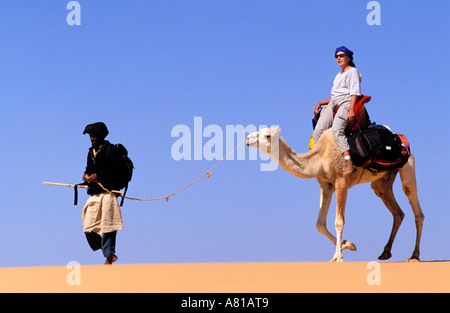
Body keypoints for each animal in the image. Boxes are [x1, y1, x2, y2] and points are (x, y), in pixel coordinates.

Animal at [246, 126, 426, 260]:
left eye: (267, 135)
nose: (247, 138)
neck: (320, 157)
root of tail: (402, 140)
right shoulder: (326, 185)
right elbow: (319, 224)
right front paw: (348, 244)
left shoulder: (341, 181)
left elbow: (339, 221)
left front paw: (338, 255)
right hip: (383, 181)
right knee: (395, 209)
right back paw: (385, 252)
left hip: (408, 163)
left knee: (413, 202)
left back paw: (414, 255)